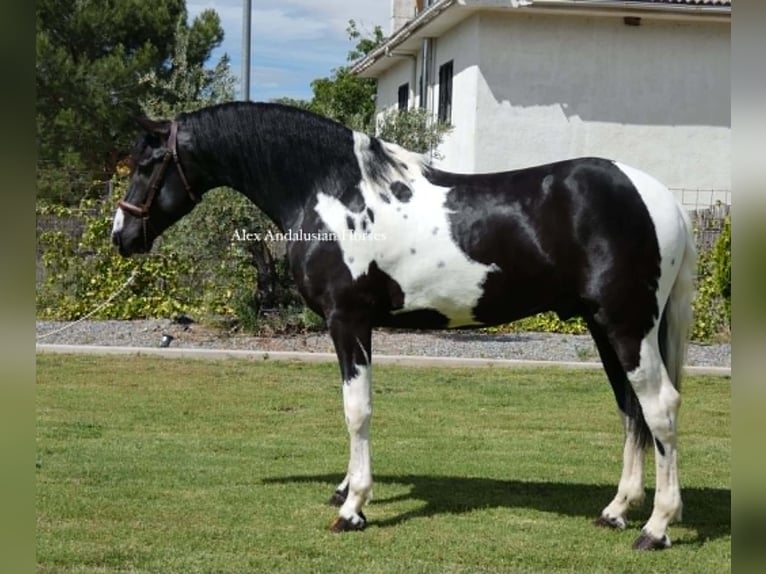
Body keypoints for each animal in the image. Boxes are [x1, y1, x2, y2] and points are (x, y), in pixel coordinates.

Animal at [111, 101, 695, 550]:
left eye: (147, 163)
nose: (121, 236)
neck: (333, 190)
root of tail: (661, 198)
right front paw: (345, 488)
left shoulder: (348, 320)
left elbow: (357, 410)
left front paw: (353, 508)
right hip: (604, 327)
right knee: (631, 410)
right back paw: (616, 510)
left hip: (627, 326)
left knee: (660, 408)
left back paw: (656, 528)